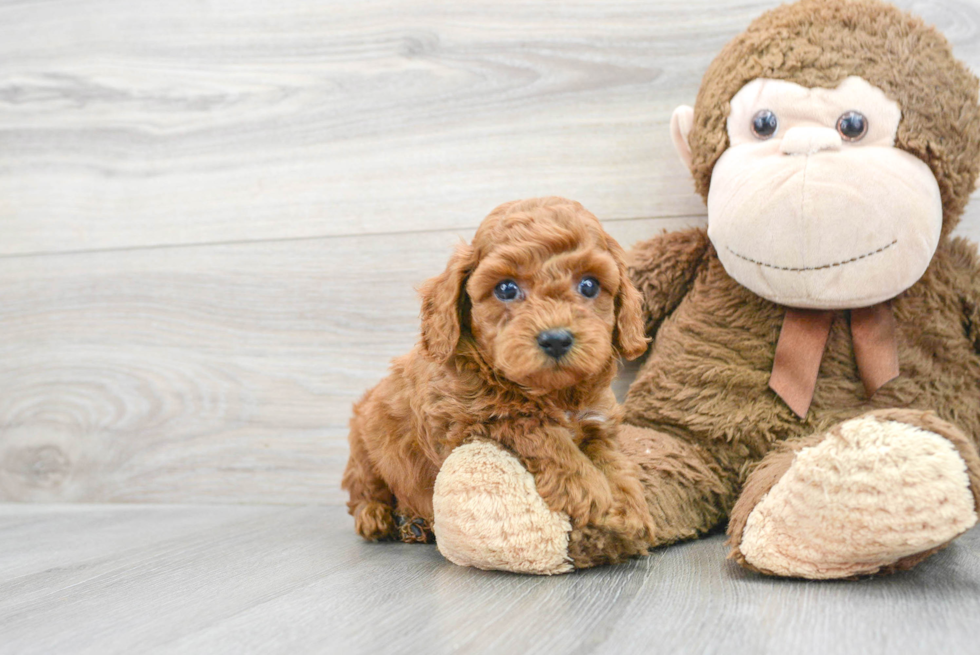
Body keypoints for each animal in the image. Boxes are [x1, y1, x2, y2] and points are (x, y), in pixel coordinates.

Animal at [340, 197, 656, 556]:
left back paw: (413, 524)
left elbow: (612, 460)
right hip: (365, 447)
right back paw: (379, 517)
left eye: (589, 285)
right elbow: (540, 431)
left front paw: (629, 508)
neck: (549, 392)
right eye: (506, 288)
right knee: (364, 490)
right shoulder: (469, 421)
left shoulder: (597, 422)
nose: (556, 339)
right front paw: (589, 491)